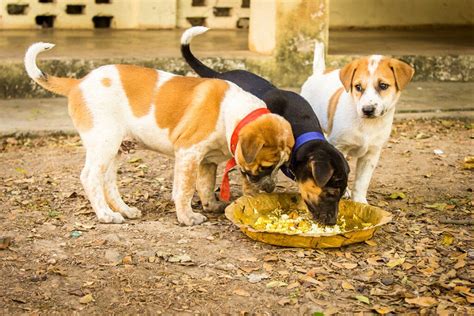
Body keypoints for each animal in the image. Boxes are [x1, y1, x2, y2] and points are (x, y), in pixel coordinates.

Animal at [25, 42, 294, 225]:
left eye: (281, 167)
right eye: (265, 166)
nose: (270, 189)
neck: (231, 114)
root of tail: (78, 83)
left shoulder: (205, 160)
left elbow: (205, 185)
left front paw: (211, 205)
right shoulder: (188, 153)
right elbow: (184, 189)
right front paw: (187, 217)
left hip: (116, 149)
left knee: (108, 182)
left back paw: (125, 210)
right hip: (104, 142)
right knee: (90, 177)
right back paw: (106, 215)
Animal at [181, 26, 348, 225]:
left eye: (340, 194)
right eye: (331, 193)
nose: (332, 222)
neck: (301, 131)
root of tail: (219, 75)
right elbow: (250, 178)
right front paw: (251, 198)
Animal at [302, 43, 412, 204]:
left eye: (383, 86)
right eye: (358, 87)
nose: (367, 110)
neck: (367, 125)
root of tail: (319, 72)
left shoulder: (372, 153)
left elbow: (362, 181)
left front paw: (360, 201)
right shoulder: (339, 146)